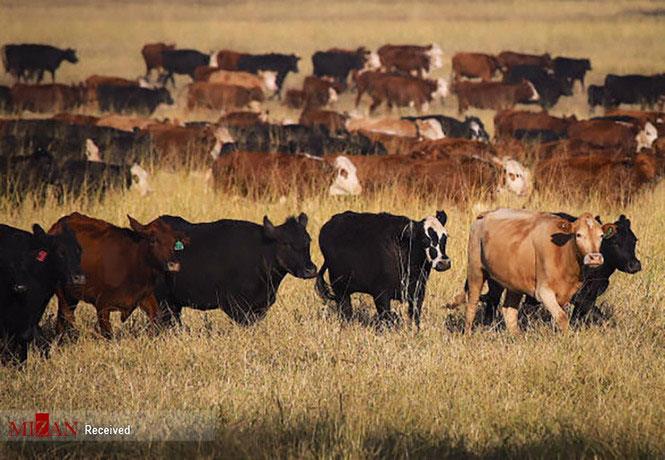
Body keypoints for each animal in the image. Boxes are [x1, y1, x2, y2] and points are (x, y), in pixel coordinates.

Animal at [50, 213, 187, 338]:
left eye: (174, 243)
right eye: (153, 240)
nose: (173, 265)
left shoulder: (145, 296)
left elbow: (156, 320)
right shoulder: (102, 305)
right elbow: (108, 335)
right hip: (63, 294)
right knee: (65, 318)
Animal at [316, 210, 452, 328]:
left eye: (445, 237)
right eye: (425, 239)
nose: (443, 263)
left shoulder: (418, 292)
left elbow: (415, 316)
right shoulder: (381, 294)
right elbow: (387, 319)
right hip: (339, 287)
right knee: (345, 310)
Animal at [460, 208, 608, 334]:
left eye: (601, 236)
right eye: (578, 235)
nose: (595, 258)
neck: (563, 252)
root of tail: (483, 215)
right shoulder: (544, 291)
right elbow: (562, 317)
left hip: (511, 281)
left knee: (509, 310)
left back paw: (516, 337)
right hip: (475, 271)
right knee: (472, 305)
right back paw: (468, 334)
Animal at [480, 215, 640, 328]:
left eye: (634, 240)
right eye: (615, 243)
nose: (635, 265)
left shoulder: (589, 295)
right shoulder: (579, 296)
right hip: (496, 282)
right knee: (493, 302)